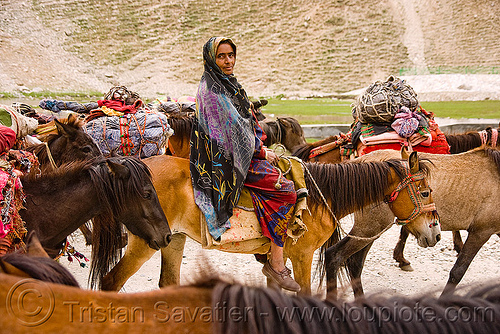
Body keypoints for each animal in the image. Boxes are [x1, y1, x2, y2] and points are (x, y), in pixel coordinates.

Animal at [102, 151, 442, 294]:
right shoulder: (302, 256)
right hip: (144, 242)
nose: (435, 234)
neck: (321, 196)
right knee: (110, 283)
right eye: (425, 192)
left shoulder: (279, 261)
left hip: (173, 239)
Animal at [330, 148, 500, 298]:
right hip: (369, 229)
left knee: (355, 262)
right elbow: (457, 271)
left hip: (371, 231)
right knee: (338, 255)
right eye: (424, 193)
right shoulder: (480, 232)